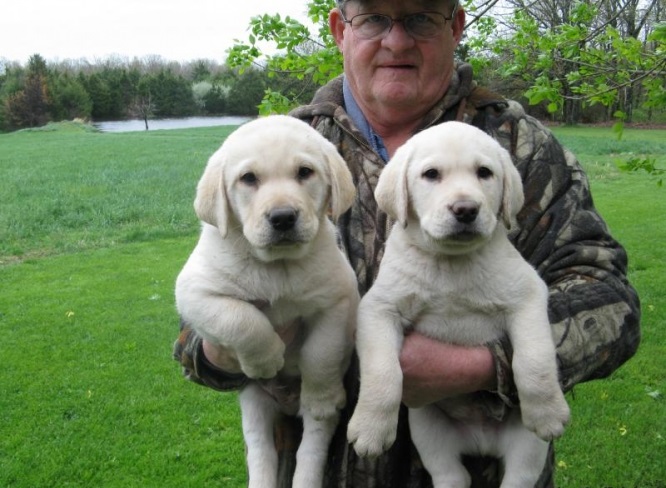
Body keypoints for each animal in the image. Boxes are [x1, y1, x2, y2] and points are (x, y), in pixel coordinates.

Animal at [172, 115, 358, 488]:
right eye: (248, 178)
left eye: (305, 172)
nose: (283, 217)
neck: (278, 267)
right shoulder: (195, 291)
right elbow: (241, 318)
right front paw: (266, 358)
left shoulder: (339, 299)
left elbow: (322, 353)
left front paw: (320, 389)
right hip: (254, 402)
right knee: (260, 451)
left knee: (312, 446)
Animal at [344, 120, 568, 486]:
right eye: (431, 174)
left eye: (484, 173)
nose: (465, 209)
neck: (451, 263)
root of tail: (482, 440)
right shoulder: (379, 308)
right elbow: (383, 371)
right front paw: (371, 428)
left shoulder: (528, 295)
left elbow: (534, 359)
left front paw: (549, 411)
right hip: (427, 427)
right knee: (451, 474)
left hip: (527, 443)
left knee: (519, 475)